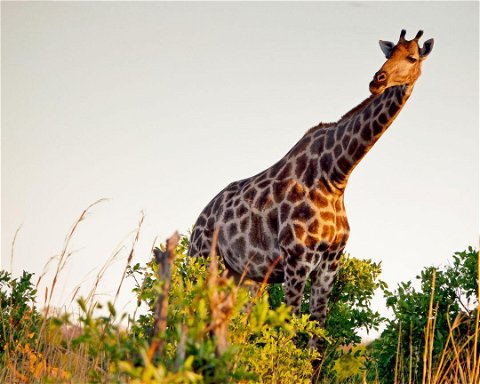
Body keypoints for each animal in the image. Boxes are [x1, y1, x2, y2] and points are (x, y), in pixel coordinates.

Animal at [187, 29, 432, 340]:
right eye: (389, 54)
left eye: (412, 57)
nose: (378, 80)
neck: (336, 175)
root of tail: (198, 221)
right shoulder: (297, 258)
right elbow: (290, 331)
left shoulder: (329, 264)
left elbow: (318, 333)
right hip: (202, 263)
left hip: (243, 277)